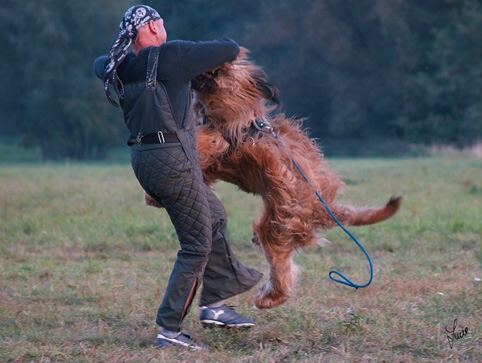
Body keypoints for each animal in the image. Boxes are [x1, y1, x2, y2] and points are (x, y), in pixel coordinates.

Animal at [145, 48, 402, 310]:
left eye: (219, 68)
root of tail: (324, 206)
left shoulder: (218, 138)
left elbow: (200, 142)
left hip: (277, 226)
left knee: (283, 271)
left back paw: (268, 298)